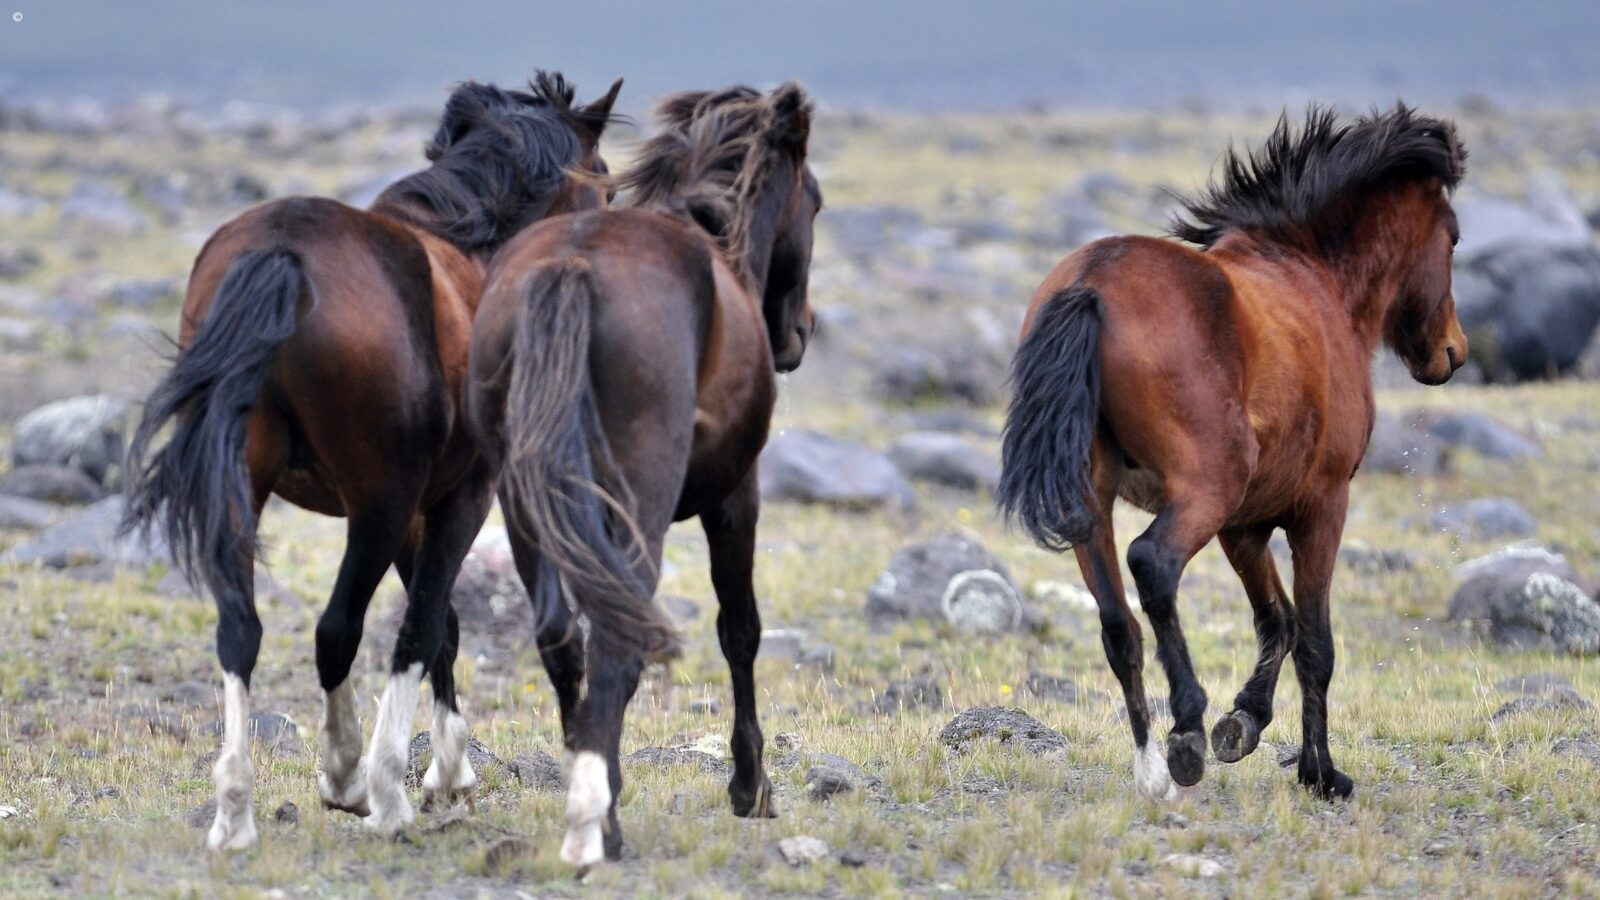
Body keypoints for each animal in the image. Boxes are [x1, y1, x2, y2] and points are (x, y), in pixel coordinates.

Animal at [121, 73, 622, 851]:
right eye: (605, 186)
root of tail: (284, 252)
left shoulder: (417, 511)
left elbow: (443, 626)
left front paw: (450, 772)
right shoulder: (457, 499)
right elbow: (424, 628)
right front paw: (418, 780)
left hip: (248, 489)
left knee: (240, 631)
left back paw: (234, 812)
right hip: (375, 507)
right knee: (337, 631)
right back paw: (353, 780)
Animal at [466, 82, 819, 867]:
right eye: (813, 199)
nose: (801, 333)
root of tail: (572, 267)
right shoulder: (736, 497)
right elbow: (740, 630)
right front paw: (751, 785)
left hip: (525, 507)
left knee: (560, 636)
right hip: (640, 507)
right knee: (616, 638)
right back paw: (602, 820)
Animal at [998, 105, 1467, 802]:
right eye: (1454, 238)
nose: (1452, 352)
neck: (1315, 278)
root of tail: (1091, 286)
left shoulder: (1244, 526)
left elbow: (1278, 621)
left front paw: (1243, 722)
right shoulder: (1321, 507)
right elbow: (1315, 641)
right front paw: (1320, 773)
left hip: (1095, 501)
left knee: (1118, 623)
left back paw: (1152, 766)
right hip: (1205, 490)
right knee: (1153, 564)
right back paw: (1185, 732)